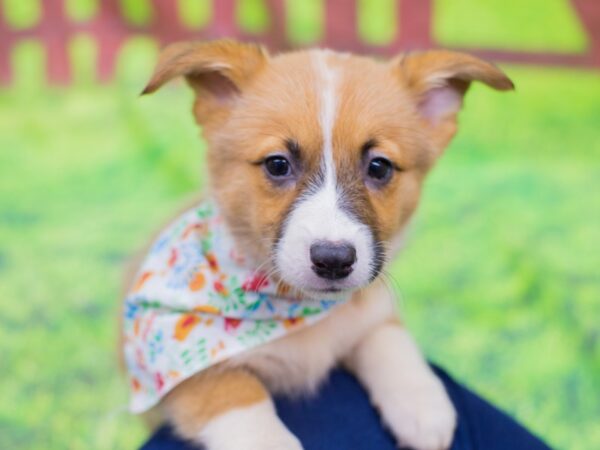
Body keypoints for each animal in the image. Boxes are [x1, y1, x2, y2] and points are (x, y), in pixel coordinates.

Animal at [120, 39, 510, 450]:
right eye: (277, 164)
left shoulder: (371, 311)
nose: (333, 261)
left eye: (379, 167)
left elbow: (387, 336)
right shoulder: (178, 365)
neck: (297, 309)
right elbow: (238, 397)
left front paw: (423, 404)